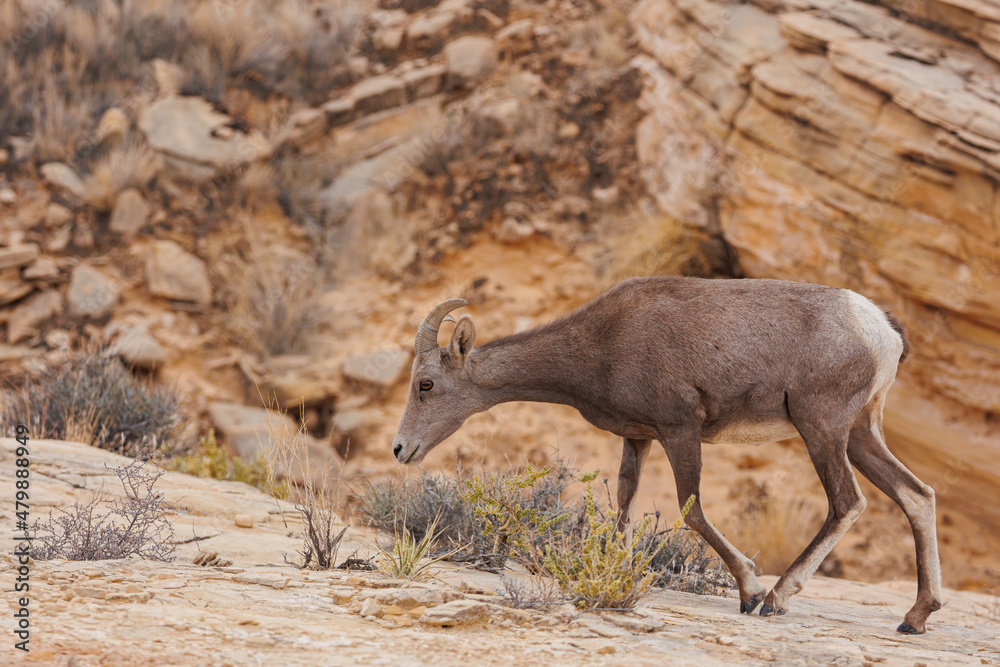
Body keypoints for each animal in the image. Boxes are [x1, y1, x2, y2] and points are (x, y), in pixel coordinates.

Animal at [391, 275, 942, 634]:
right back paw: (914, 619)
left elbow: (690, 509)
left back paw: (777, 600)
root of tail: (881, 330)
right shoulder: (639, 438)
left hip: (822, 428)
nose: (400, 449)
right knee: (917, 494)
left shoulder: (681, 430)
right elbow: (624, 503)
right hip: (860, 432)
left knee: (848, 503)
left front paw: (749, 592)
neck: (602, 342)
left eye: (426, 384)